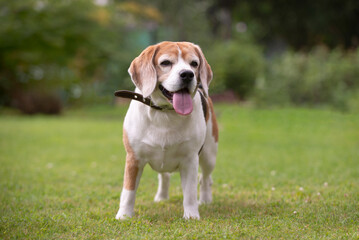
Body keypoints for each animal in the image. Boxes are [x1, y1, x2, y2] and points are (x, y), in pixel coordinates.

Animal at [116, 41, 218, 219]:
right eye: (165, 63)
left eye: (194, 63)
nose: (188, 74)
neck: (164, 112)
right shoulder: (133, 158)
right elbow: (128, 191)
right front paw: (124, 216)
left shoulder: (190, 159)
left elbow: (190, 192)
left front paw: (191, 216)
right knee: (164, 176)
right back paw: (162, 197)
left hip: (209, 155)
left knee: (205, 179)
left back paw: (205, 200)